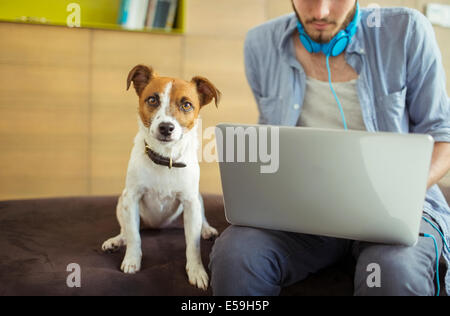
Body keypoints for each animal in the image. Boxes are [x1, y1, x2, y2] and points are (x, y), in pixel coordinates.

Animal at [102, 65, 221, 290]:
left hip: (198, 200)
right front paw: (132, 260)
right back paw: (117, 240)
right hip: (122, 201)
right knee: (126, 229)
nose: (166, 127)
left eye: (186, 104)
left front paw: (196, 271)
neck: (165, 159)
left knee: (202, 219)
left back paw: (207, 229)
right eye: (152, 100)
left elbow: (193, 245)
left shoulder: (191, 202)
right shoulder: (131, 198)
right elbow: (134, 236)